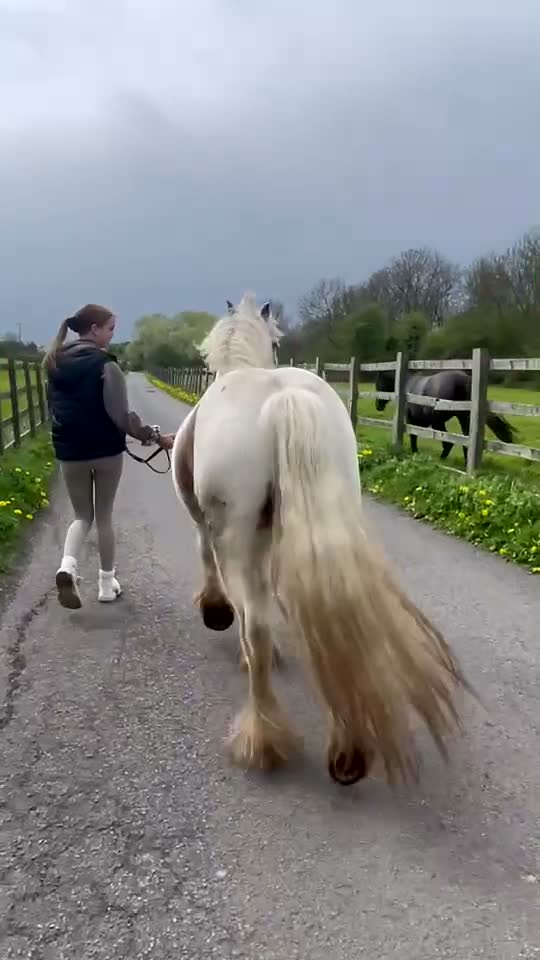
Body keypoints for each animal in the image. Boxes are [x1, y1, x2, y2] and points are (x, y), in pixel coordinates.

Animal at [172, 293, 471, 787]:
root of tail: (283, 399)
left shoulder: (211, 526)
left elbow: (220, 578)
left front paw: (217, 615)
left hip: (239, 535)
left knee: (256, 624)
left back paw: (262, 739)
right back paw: (348, 750)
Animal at [374, 368, 516, 464]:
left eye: (378, 384)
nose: (378, 405)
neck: (406, 384)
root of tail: (465, 380)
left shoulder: (411, 419)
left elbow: (413, 435)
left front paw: (414, 452)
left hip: (438, 421)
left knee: (448, 443)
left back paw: (441, 459)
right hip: (463, 418)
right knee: (464, 441)